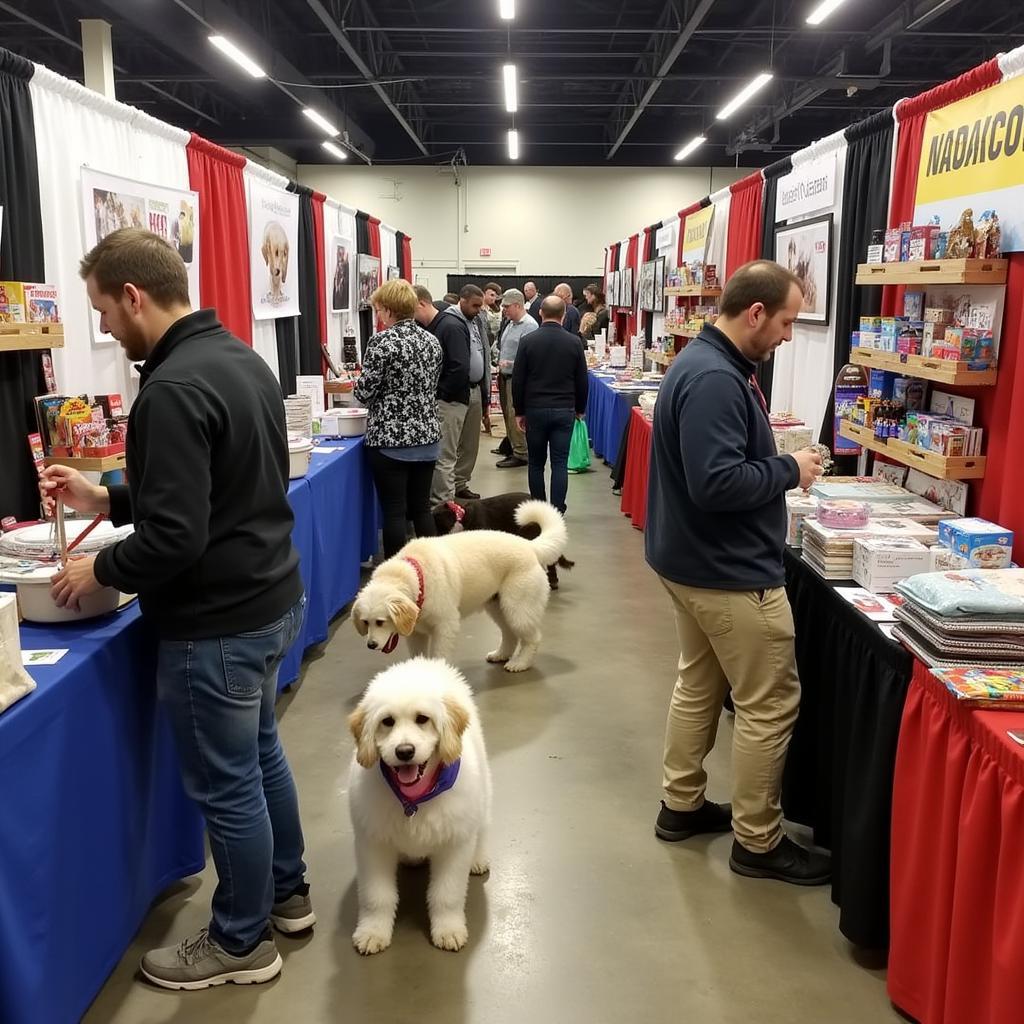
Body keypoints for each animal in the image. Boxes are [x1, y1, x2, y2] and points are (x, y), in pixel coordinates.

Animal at [348, 659, 491, 954]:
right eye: (387, 721)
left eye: (422, 719)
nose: (404, 751)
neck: (413, 801)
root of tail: (426, 662)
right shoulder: (373, 845)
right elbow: (376, 897)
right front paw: (372, 931)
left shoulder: (454, 846)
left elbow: (447, 895)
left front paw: (448, 929)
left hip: (483, 794)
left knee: (482, 826)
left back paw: (478, 858)